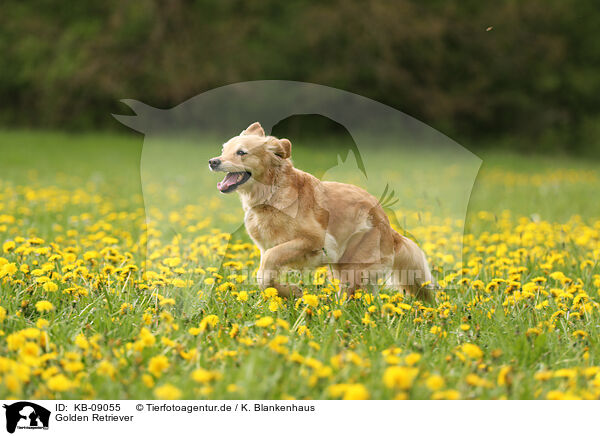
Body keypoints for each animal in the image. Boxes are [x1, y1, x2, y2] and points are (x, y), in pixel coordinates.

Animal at [209, 122, 434, 300]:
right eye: (223, 150)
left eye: (241, 152)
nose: (213, 161)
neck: (271, 196)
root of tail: (390, 228)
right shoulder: (265, 248)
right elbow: (264, 276)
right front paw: (289, 292)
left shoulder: (312, 240)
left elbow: (269, 263)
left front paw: (291, 291)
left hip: (353, 267)